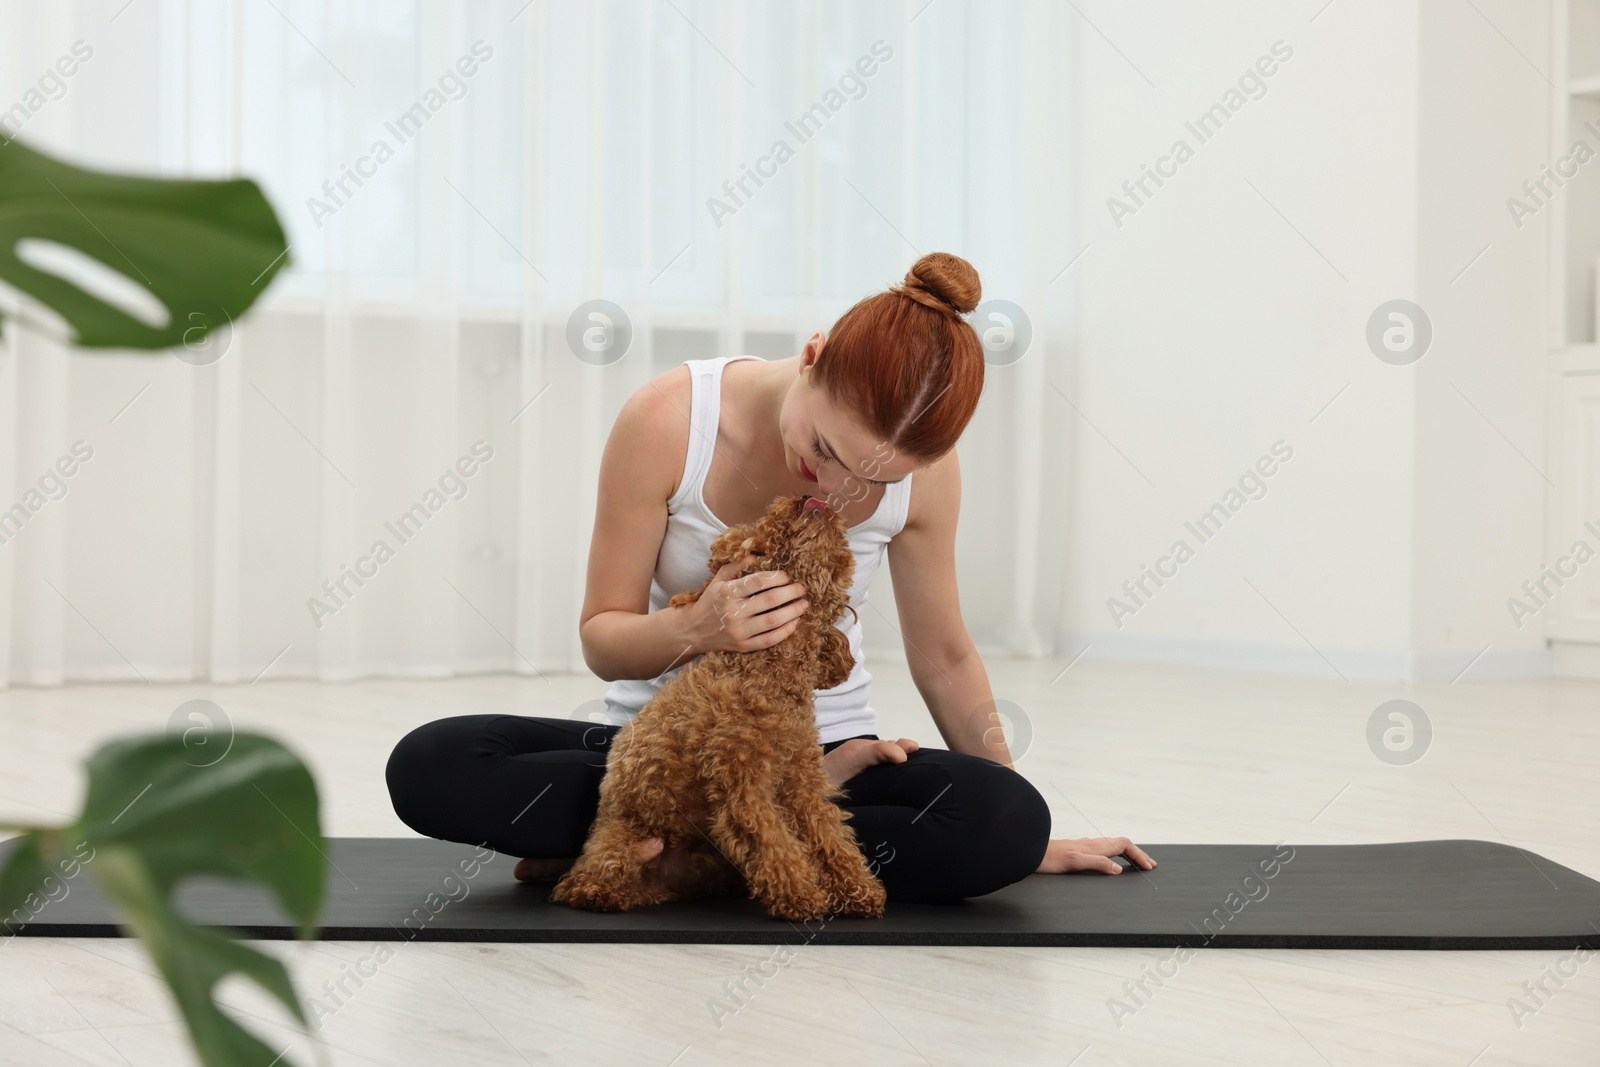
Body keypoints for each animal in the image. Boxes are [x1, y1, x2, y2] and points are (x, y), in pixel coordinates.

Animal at [550, 495, 889, 921]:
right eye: (758, 544)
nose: (801, 499)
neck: (767, 674)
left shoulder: (801, 781)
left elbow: (829, 833)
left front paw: (858, 891)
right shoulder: (739, 781)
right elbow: (773, 842)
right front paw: (801, 897)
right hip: (620, 842)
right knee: (583, 883)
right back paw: (597, 892)